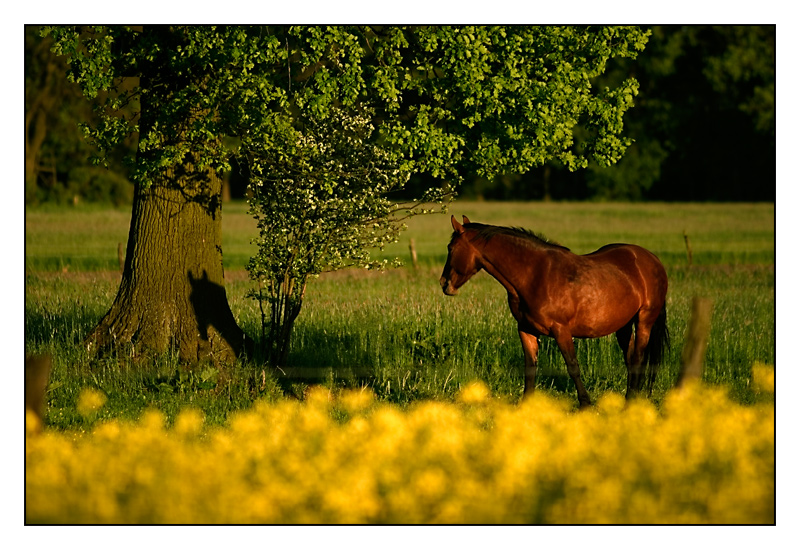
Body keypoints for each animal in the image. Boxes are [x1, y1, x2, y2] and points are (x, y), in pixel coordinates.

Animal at [438, 217, 668, 410]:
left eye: (451, 248)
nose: (444, 283)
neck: (535, 275)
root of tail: (651, 259)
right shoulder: (526, 330)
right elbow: (530, 368)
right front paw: (526, 405)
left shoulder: (561, 330)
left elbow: (572, 366)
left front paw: (585, 404)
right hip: (624, 326)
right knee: (630, 359)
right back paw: (630, 398)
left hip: (644, 320)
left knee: (638, 357)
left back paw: (633, 402)